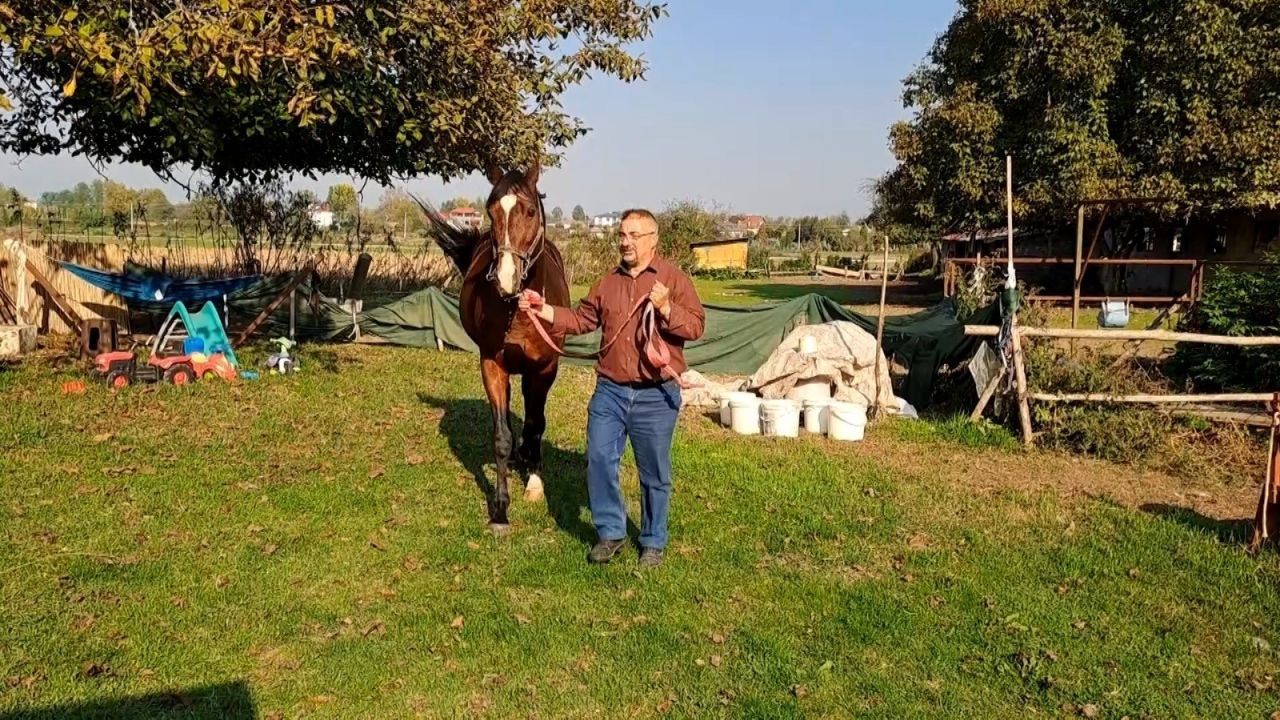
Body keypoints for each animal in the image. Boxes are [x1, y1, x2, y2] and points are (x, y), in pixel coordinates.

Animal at [419, 162, 570, 530]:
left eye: (530, 211)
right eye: (490, 211)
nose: (505, 280)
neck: (518, 308)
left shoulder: (544, 369)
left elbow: (536, 425)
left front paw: (534, 482)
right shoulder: (492, 364)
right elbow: (501, 436)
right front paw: (500, 509)